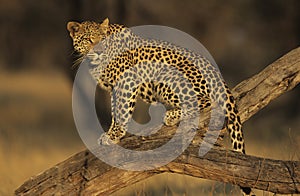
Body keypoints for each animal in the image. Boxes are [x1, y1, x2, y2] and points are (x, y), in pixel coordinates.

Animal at [67, 18, 254, 196]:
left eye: (102, 39)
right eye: (88, 39)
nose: (99, 51)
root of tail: (218, 75)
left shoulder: (127, 81)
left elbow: (122, 110)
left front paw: (114, 136)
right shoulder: (114, 88)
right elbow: (115, 111)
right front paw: (110, 133)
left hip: (167, 77)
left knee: (208, 102)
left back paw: (170, 116)